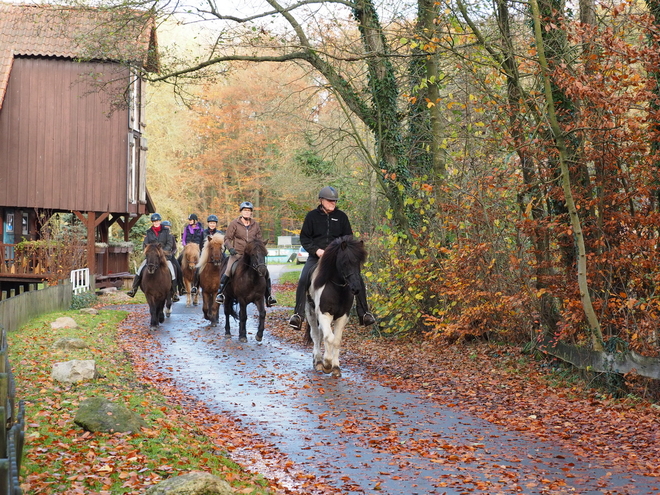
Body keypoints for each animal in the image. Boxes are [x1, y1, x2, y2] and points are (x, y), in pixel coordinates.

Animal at [302, 235, 366, 376]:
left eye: (359, 263)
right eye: (345, 262)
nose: (356, 289)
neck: (338, 289)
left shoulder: (342, 317)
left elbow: (336, 340)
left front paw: (335, 367)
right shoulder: (324, 314)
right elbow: (328, 338)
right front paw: (327, 364)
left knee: (321, 334)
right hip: (311, 313)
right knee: (316, 335)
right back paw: (318, 361)